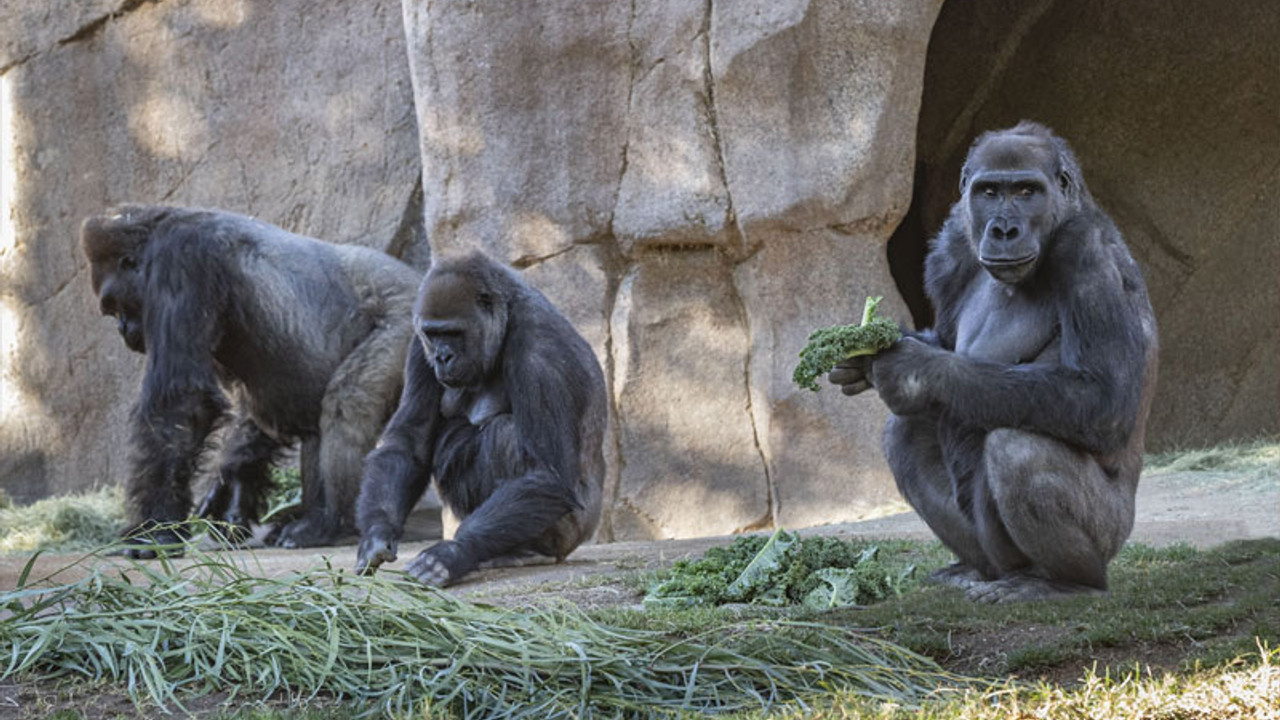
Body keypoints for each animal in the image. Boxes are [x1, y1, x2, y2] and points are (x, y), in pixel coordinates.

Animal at [81, 204, 419, 550]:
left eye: (114, 304)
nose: (122, 329)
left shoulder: (180, 257)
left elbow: (184, 402)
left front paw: (156, 526)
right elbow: (256, 409)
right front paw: (231, 482)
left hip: (407, 318)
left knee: (347, 402)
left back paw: (328, 522)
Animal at [355, 249, 604, 586]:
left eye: (454, 333)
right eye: (433, 334)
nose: (442, 357)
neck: (508, 316)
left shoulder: (540, 349)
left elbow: (545, 474)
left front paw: (455, 552)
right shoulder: (419, 347)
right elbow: (408, 445)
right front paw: (376, 535)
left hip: (572, 533)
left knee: (504, 434)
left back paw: (528, 551)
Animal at [829, 121, 1162, 599]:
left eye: (1026, 191)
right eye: (989, 192)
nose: (1004, 229)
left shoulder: (1086, 248)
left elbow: (1103, 396)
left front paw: (912, 371)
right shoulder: (952, 246)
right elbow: (945, 341)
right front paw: (864, 355)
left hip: (1113, 533)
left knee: (1018, 449)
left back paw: (1066, 582)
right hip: (991, 553)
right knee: (905, 435)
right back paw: (975, 569)